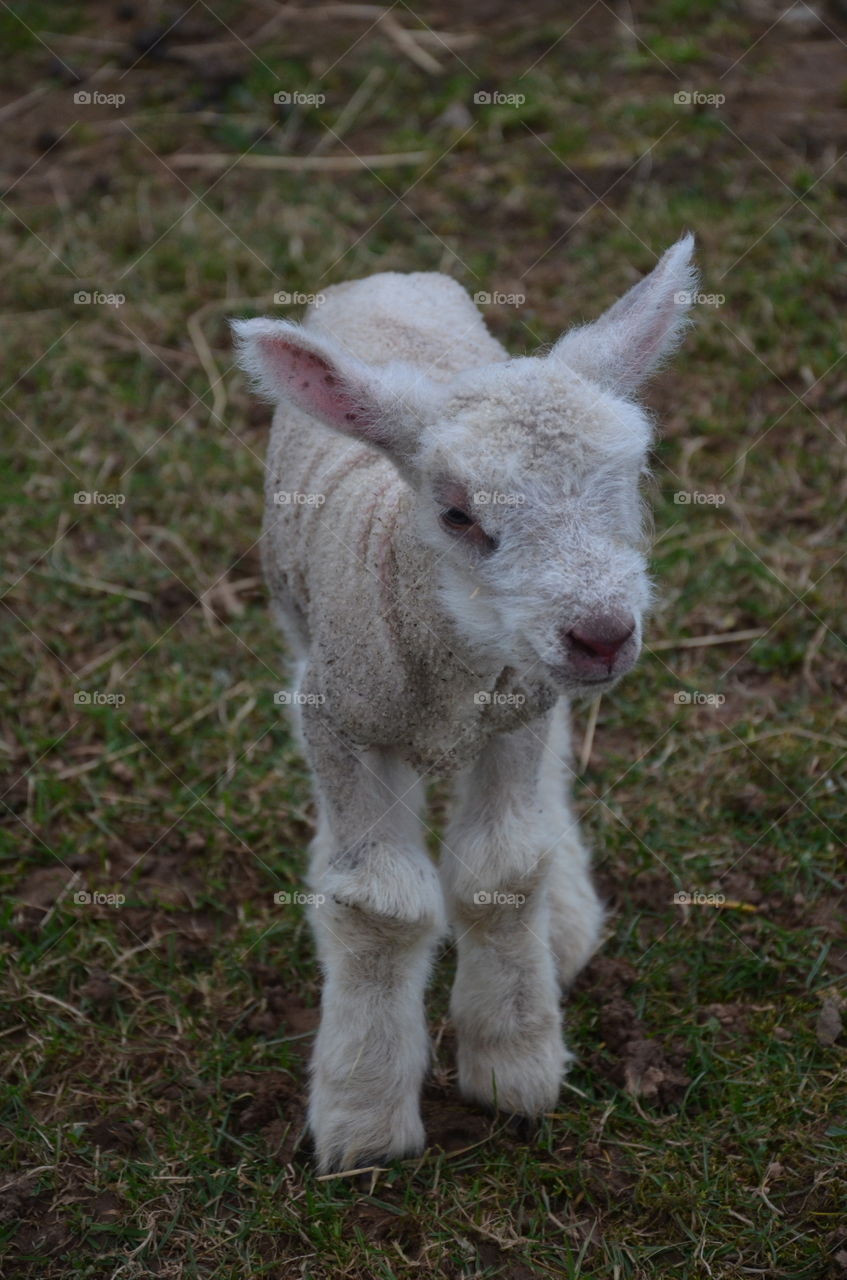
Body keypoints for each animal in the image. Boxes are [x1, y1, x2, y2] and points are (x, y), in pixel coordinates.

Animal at [232, 235, 697, 1173]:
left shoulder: (516, 708)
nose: (601, 633)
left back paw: (564, 919)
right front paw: (364, 1115)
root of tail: (389, 277)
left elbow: (502, 872)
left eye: (630, 480)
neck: (450, 671)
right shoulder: (341, 715)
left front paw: (512, 1063)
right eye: (455, 514)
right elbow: (378, 905)